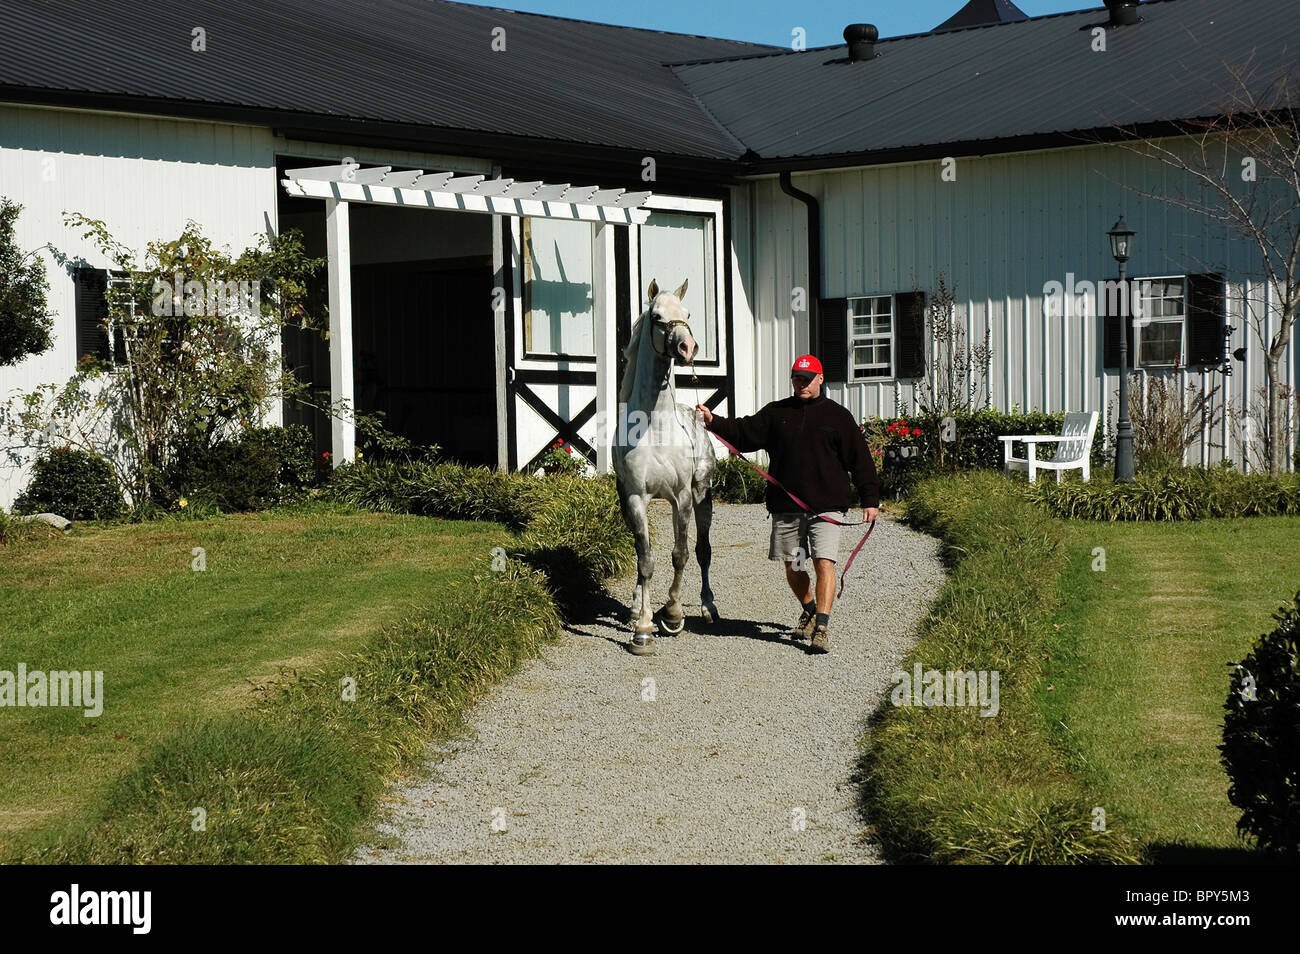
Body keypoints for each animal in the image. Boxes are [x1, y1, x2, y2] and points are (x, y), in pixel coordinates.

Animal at [613, 278, 718, 655]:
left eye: (686, 314)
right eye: (657, 316)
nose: (688, 347)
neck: (655, 428)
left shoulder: (682, 498)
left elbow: (681, 554)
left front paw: (672, 615)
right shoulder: (634, 498)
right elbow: (645, 559)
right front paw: (642, 628)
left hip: (703, 499)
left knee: (703, 552)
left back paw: (708, 606)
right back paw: (634, 608)